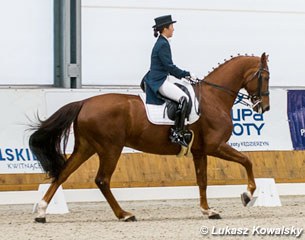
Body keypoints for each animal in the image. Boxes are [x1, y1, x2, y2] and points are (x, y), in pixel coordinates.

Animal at [29, 53, 268, 223]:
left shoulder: (200, 151)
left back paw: (41, 212)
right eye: (264, 76)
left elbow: (203, 181)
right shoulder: (215, 146)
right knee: (102, 180)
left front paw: (208, 211)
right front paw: (247, 195)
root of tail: (84, 103)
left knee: (63, 174)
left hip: (86, 147)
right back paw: (124, 214)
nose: (264, 107)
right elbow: (247, 160)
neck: (214, 98)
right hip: (110, 148)